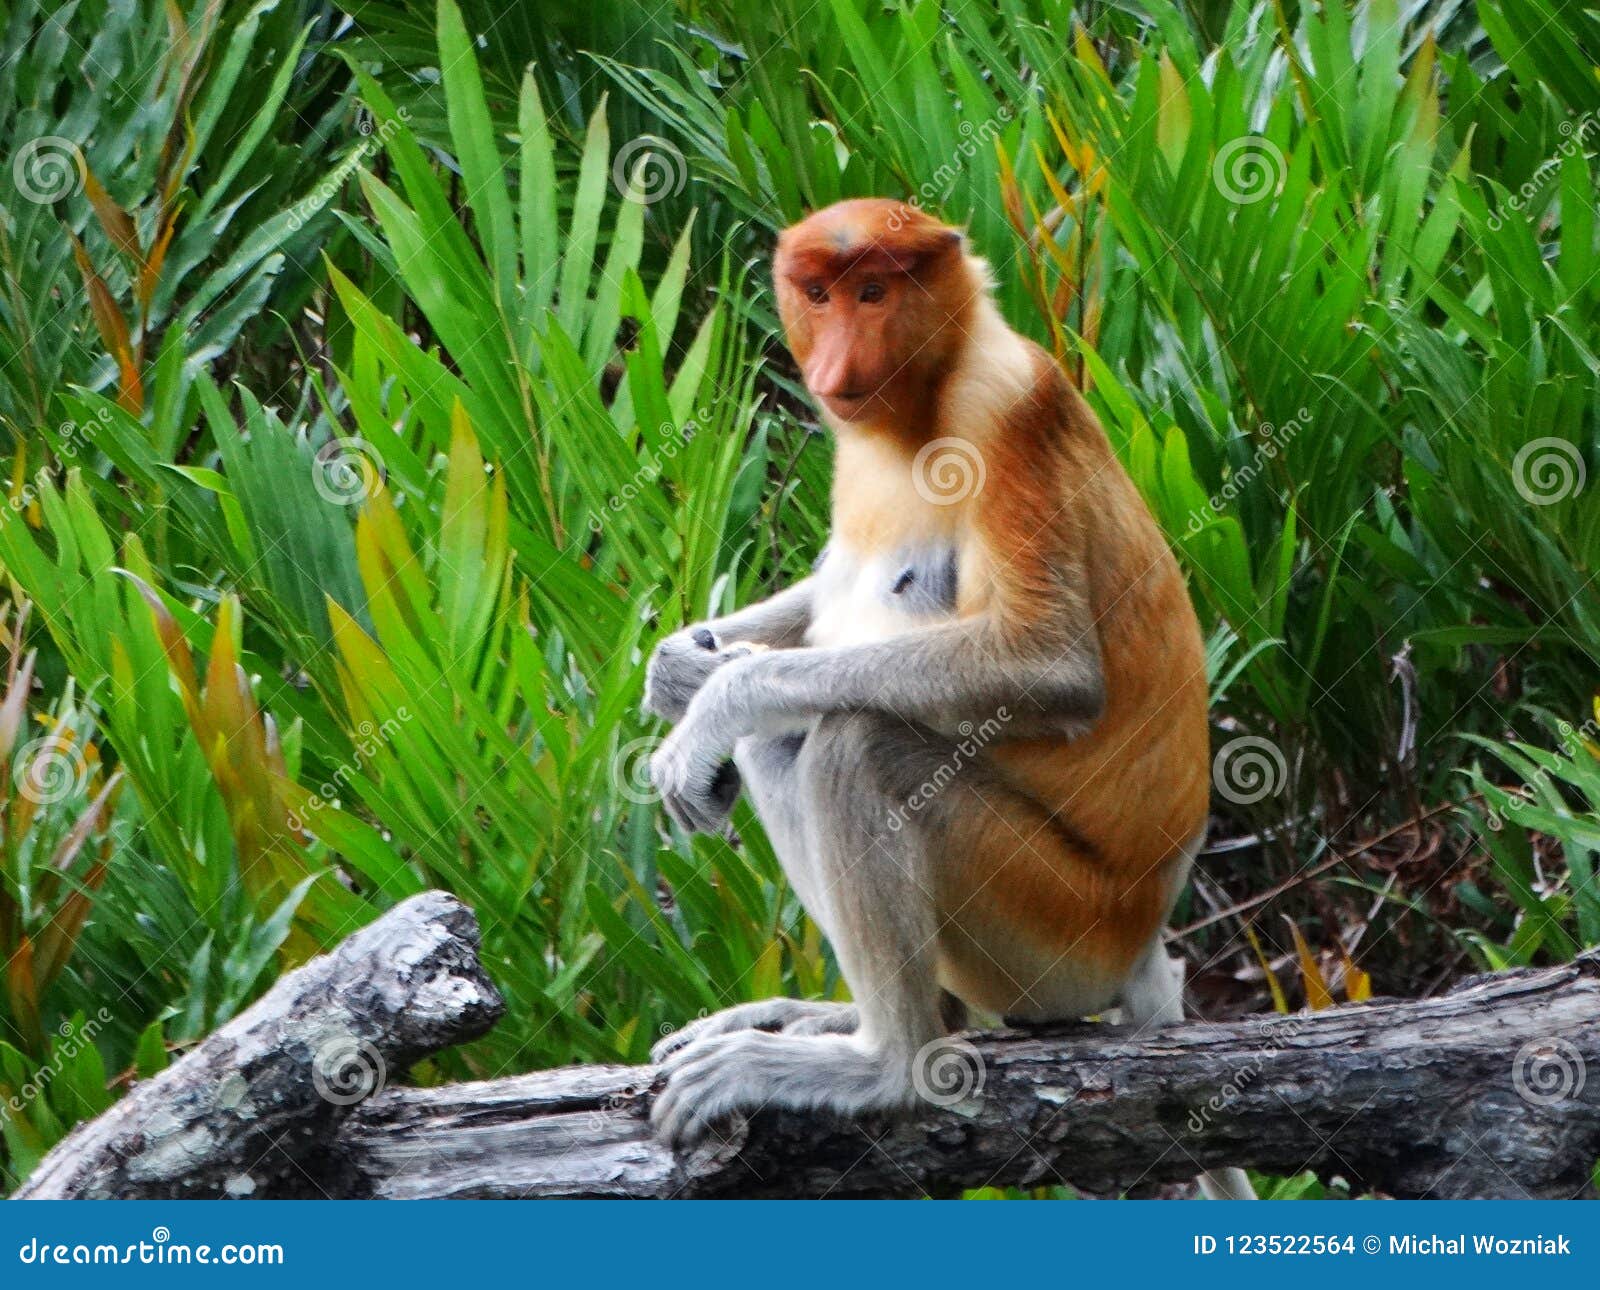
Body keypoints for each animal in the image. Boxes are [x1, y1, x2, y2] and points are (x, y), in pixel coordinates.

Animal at [643, 194, 1254, 1203]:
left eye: (875, 292)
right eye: (818, 294)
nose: (835, 367)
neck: (920, 403)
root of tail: (1143, 944)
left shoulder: (1005, 409)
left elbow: (1050, 667)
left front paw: (719, 697)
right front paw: (679, 667)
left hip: (1054, 934)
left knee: (857, 741)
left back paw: (885, 1064)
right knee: (790, 741)